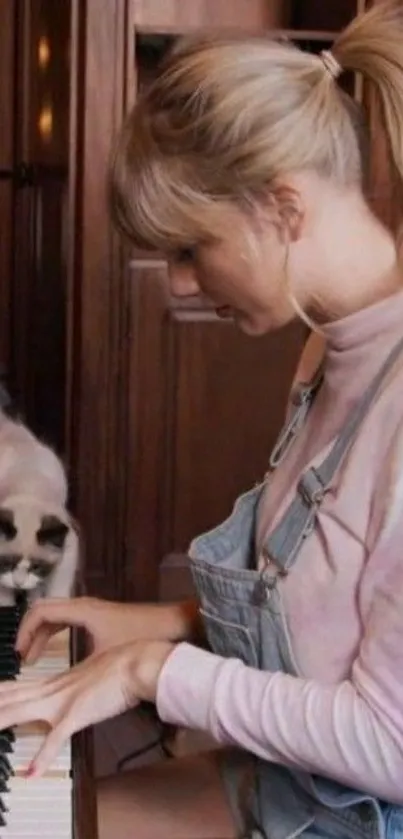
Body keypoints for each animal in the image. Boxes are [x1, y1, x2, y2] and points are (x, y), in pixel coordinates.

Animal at [0, 406, 79, 604]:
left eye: (37, 566)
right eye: (7, 562)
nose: (19, 583)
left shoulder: (68, 551)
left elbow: (57, 595)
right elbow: (4, 599)